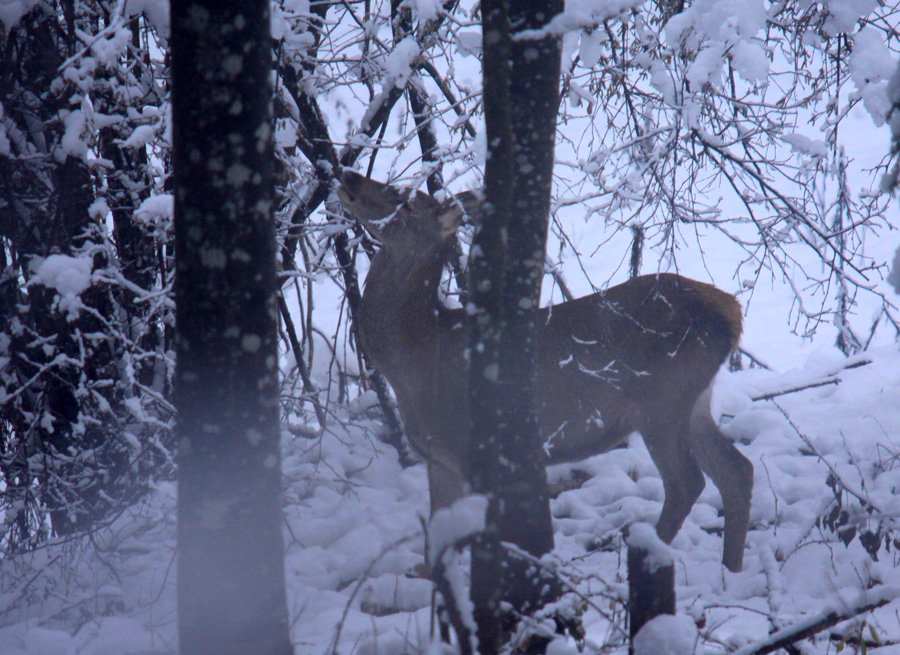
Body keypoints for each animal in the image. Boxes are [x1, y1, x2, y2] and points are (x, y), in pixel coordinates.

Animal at [336, 170, 752, 576]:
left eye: (403, 200)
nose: (349, 176)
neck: (419, 358)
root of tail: (732, 312)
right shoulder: (439, 457)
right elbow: (434, 545)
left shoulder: (472, 447)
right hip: (693, 400)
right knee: (737, 471)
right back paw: (729, 571)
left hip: (661, 400)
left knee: (687, 482)